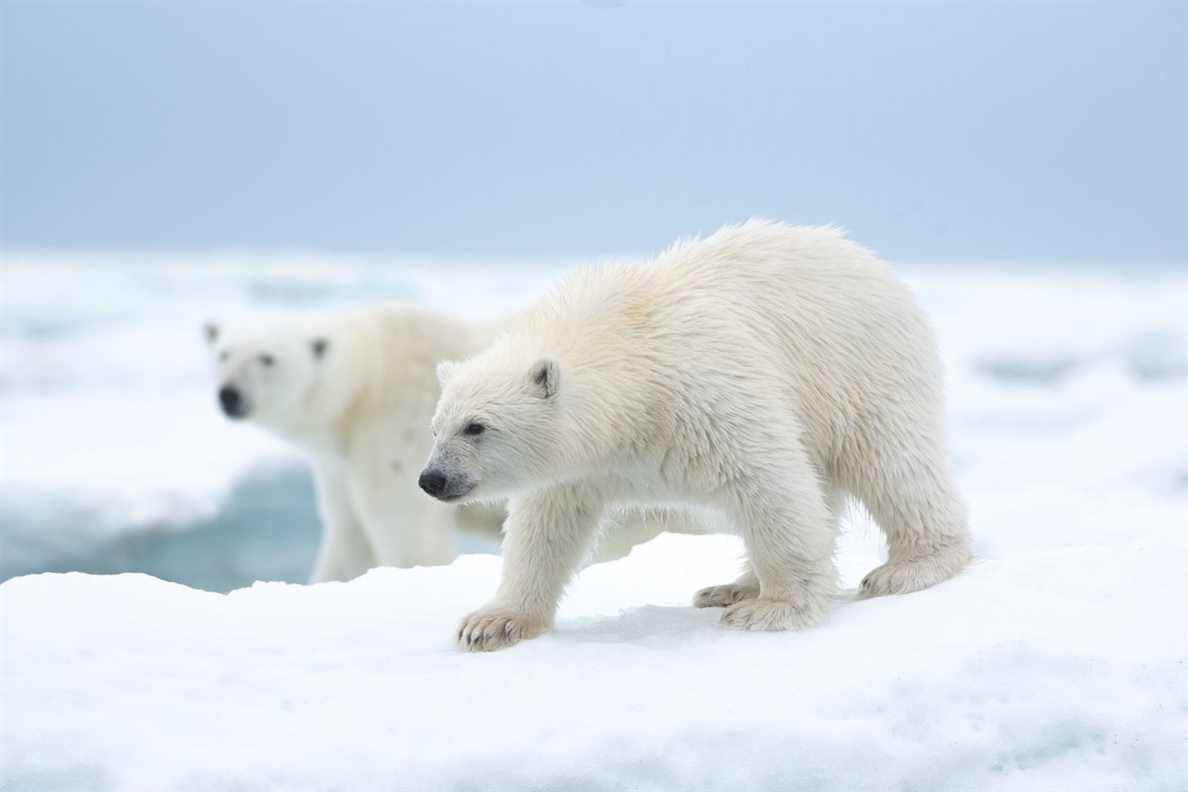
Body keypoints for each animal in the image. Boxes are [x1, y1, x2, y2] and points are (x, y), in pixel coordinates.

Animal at [422, 218, 969, 650]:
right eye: (435, 427)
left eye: (476, 426)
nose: (432, 479)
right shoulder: (583, 464)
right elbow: (545, 525)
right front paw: (492, 623)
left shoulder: (704, 394)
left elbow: (768, 484)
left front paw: (774, 609)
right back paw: (731, 586)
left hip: (860, 370)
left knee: (890, 461)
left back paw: (910, 566)